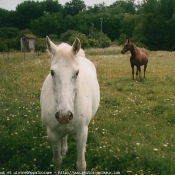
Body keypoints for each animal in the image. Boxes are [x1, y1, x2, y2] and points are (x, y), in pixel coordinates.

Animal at [40, 36, 100, 174]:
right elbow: (57, 161)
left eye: (77, 73)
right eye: (52, 72)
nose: (64, 115)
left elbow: (81, 164)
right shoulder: (52, 134)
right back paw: (64, 149)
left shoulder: (82, 133)